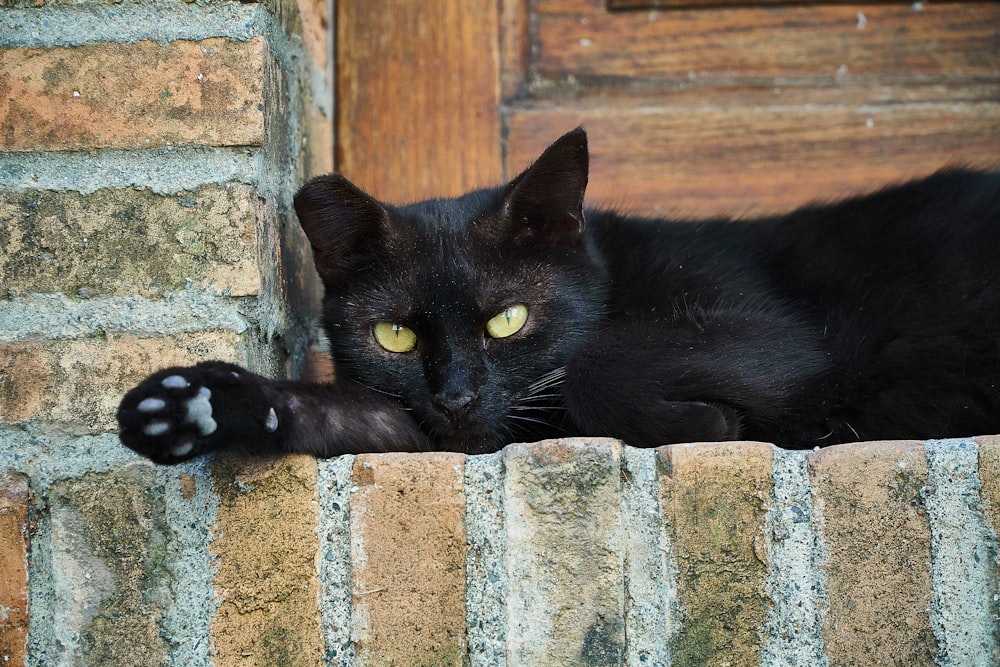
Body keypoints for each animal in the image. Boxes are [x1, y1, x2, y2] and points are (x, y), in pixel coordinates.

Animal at [119, 130, 1000, 464]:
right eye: (396, 336)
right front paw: (198, 403)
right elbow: (346, 414)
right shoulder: (427, 430)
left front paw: (711, 422)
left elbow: (594, 362)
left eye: (508, 319)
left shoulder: (770, 332)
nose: (457, 396)